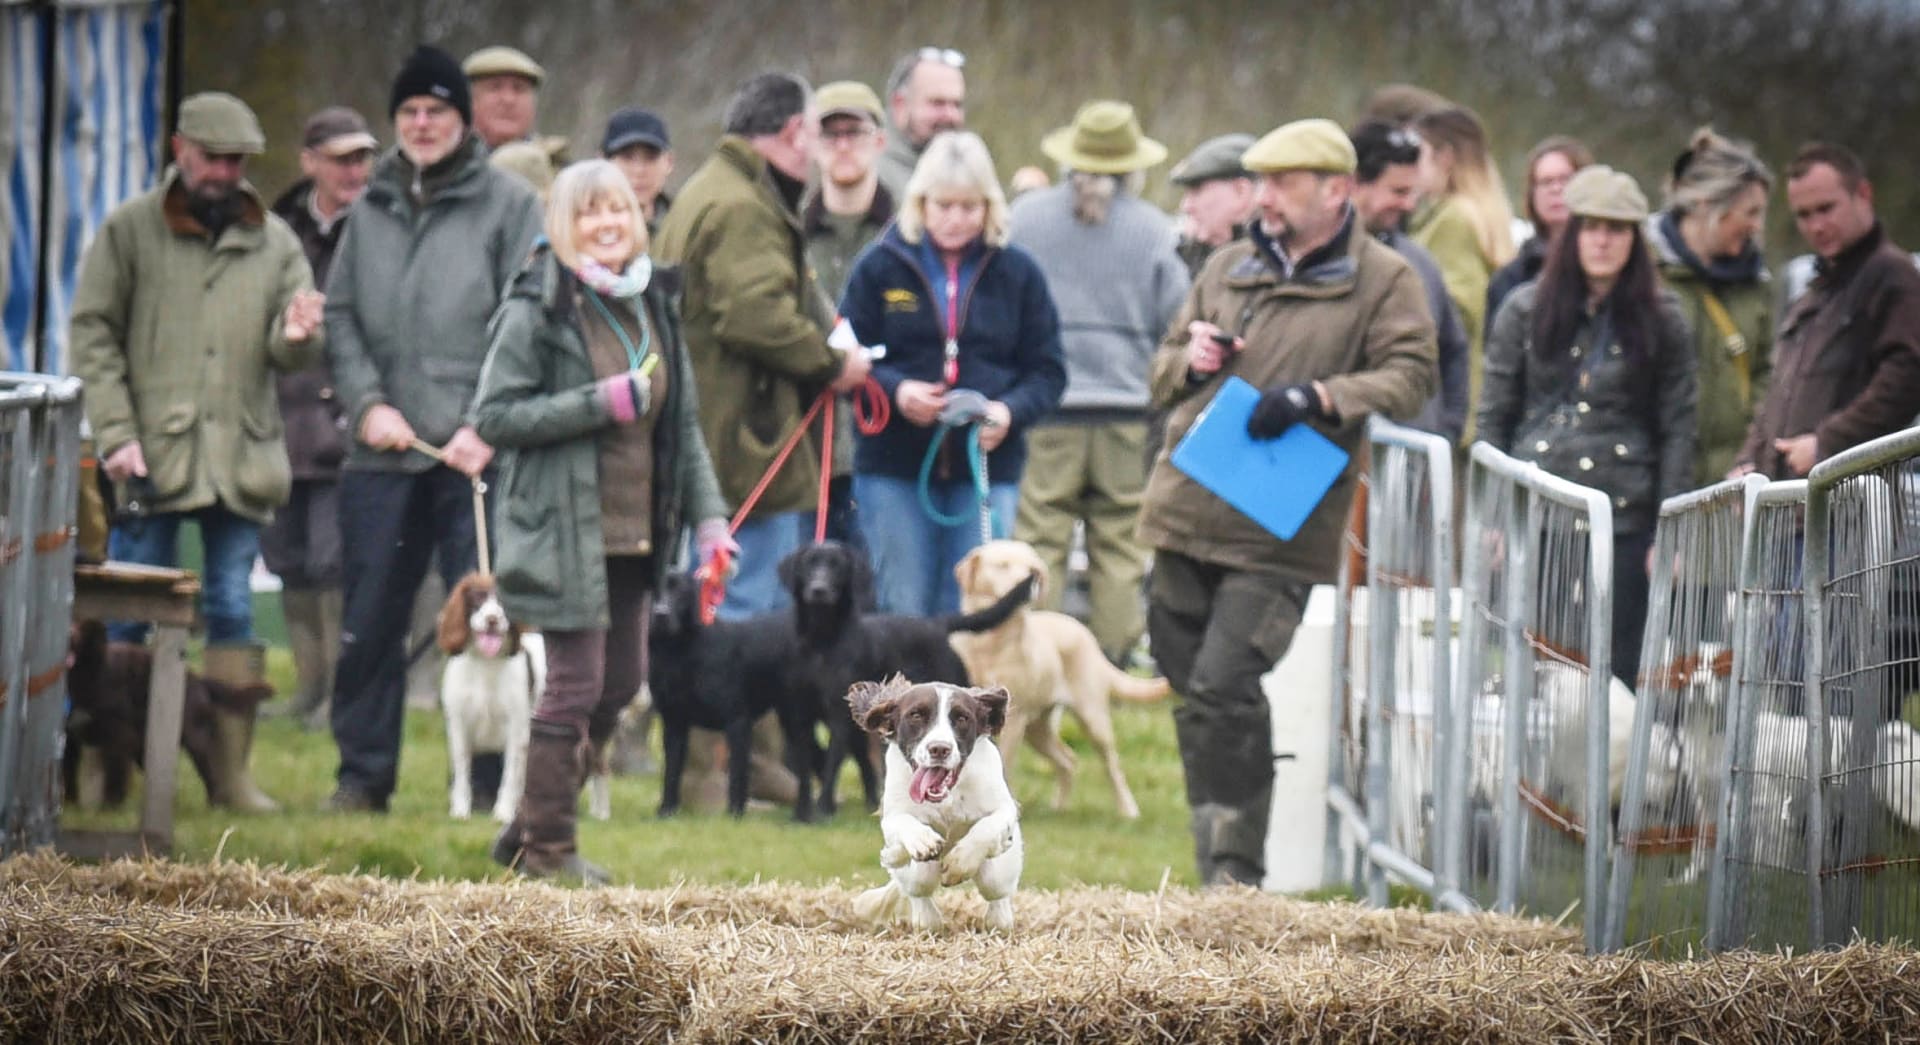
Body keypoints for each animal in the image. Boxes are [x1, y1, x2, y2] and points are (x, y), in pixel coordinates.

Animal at [848, 676, 1021, 929]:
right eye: (916, 715)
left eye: (962, 718)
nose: (939, 748)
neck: (946, 797)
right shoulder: (892, 814)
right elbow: (903, 822)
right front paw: (923, 842)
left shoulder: (1004, 807)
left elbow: (988, 827)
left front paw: (959, 863)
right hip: (917, 874)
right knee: (918, 887)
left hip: (999, 872)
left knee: (996, 889)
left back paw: (998, 920)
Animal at [948, 541, 1167, 822]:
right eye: (1003, 565)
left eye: (1033, 569)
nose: (1029, 582)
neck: (990, 642)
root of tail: (1085, 633)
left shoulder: (1010, 723)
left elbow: (1002, 765)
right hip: (1037, 730)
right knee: (1068, 760)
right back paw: (1059, 808)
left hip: (1090, 719)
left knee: (1111, 765)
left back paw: (1127, 810)